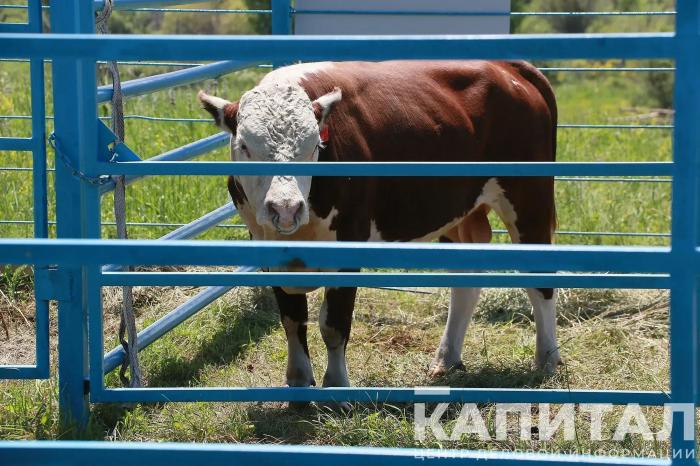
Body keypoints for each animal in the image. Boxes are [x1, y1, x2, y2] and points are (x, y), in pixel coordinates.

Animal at [200, 58, 560, 394]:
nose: (286, 208)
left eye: (314, 146)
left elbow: (334, 324)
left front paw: (336, 387)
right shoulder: (267, 248)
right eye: (244, 146)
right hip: (459, 213)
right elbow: (292, 319)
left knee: (541, 282)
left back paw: (547, 359)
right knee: (465, 285)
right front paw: (298, 382)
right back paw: (447, 358)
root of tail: (506, 67)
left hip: (529, 200)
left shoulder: (349, 245)